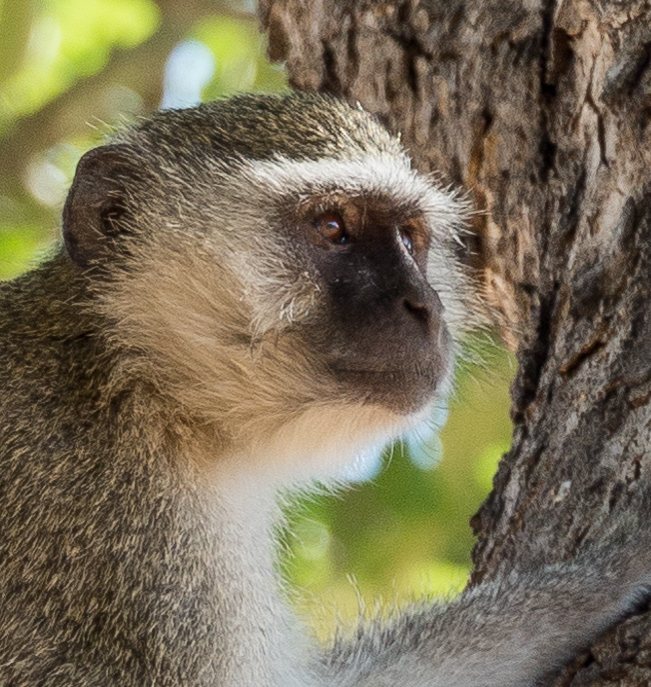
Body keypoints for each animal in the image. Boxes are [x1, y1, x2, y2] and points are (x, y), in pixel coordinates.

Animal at [1, 92, 651, 687]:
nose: (425, 306)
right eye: (334, 228)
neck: (130, 372)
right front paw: (604, 575)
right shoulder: (127, 540)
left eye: (410, 238)